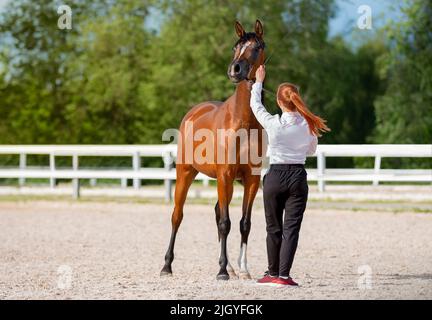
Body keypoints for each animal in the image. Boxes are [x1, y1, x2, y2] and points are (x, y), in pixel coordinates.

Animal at [160, 20, 264, 280]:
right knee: (177, 216)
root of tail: (194, 111)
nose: (235, 70)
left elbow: (244, 223)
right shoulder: (225, 175)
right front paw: (222, 272)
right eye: (235, 47)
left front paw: (243, 269)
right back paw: (167, 266)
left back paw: (231, 267)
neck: (243, 121)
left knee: (218, 212)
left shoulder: (252, 179)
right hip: (186, 174)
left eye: (257, 47)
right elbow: (226, 223)